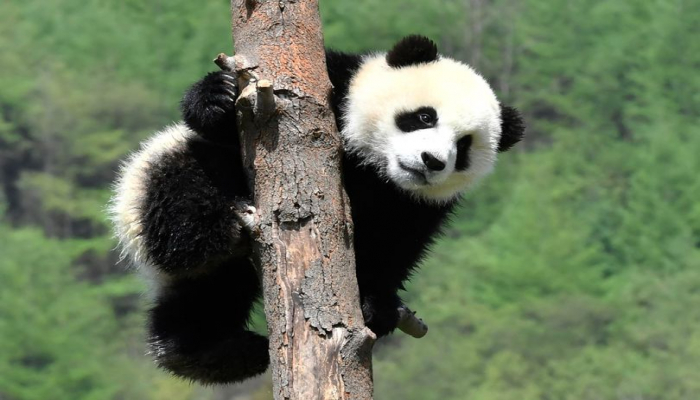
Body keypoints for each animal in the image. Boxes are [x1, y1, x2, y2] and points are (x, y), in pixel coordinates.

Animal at [110, 35, 524, 384]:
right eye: (424, 116)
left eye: (464, 145)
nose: (432, 161)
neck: (374, 169)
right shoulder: (327, 86)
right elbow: (228, 117)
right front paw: (218, 96)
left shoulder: (414, 204)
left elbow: (395, 247)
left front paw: (376, 305)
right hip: (165, 177)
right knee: (183, 193)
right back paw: (211, 237)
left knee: (208, 297)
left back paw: (202, 353)